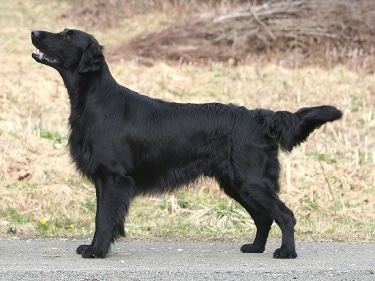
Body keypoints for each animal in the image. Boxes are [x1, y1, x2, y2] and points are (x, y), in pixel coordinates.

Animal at [31, 29, 344, 258]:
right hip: (236, 183)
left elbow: (104, 218)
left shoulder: (112, 177)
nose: (34, 32)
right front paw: (94, 246)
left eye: (67, 36)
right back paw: (256, 248)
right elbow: (102, 216)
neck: (96, 100)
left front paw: (96, 251)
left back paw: (286, 252)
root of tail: (260, 117)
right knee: (264, 218)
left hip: (251, 180)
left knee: (285, 215)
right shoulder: (103, 179)